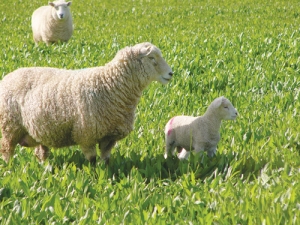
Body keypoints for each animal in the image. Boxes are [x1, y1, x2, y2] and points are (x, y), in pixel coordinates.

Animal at [0, 41, 173, 163]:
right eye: (151, 58)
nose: (171, 73)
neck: (110, 84)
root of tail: (8, 76)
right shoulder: (86, 135)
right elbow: (92, 161)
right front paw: (94, 179)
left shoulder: (109, 138)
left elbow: (106, 161)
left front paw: (108, 179)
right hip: (10, 127)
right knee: (6, 150)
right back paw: (10, 169)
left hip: (38, 130)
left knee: (40, 153)